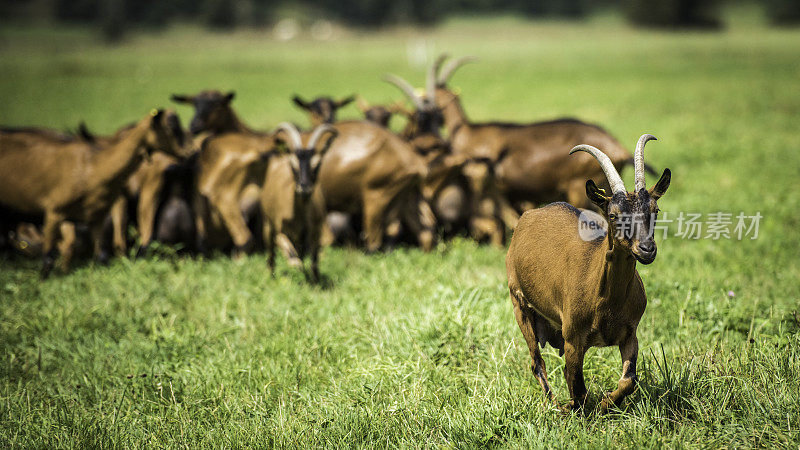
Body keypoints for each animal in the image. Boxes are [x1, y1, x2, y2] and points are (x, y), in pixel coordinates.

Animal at [262, 123, 338, 282]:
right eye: (293, 165)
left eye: (317, 165)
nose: (304, 187)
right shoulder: (280, 231)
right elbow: (292, 255)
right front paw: (296, 266)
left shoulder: (315, 231)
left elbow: (314, 260)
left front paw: (315, 281)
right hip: (268, 224)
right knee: (271, 255)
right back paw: (271, 277)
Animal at [506, 135, 668, 414]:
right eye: (613, 214)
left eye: (654, 209)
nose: (647, 249)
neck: (606, 303)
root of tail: (531, 214)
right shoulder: (573, 338)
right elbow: (578, 390)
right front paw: (573, 408)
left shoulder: (630, 333)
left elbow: (629, 380)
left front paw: (606, 403)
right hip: (520, 304)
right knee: (537, 362)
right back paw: (553, 404)